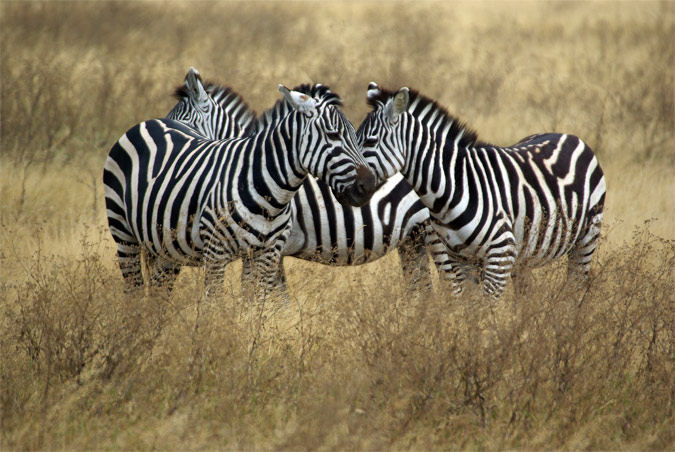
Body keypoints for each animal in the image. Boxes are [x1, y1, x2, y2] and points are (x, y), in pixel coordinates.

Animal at [103, 82, 378, 300]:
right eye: (333, 135)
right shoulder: (216, 253)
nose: (369, 186)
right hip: (123, 232)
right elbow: (213, 307)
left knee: (158, 295)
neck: (272, 195)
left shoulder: (267, 254)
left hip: (165, 247)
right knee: (134, 288)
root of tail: (149, 122)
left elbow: (255, 306)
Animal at [360, 83, 608, 298]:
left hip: (586, 238)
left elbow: (484, 313)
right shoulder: (460, 260)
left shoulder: (500, 257)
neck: (455, 188)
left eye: (370, 142)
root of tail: (570, 135)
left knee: (576, 286)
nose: (355, 186)